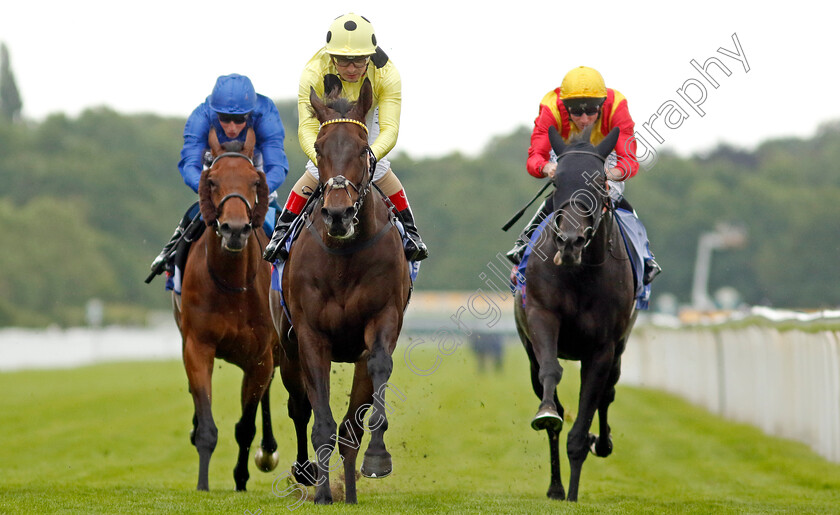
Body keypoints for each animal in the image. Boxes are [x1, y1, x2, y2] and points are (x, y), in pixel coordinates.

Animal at [175, 128, 282, 492]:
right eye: (212, 181)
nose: (234, 229)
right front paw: (202, 484)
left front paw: (240, 478)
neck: (233, 283)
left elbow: (246, 426)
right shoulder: (198, 346)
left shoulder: (261, 356)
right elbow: (207, 427)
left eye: (254, 181)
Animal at [270, 78, 412, 506]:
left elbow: (376, 376)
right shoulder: (310, 334)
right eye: (318, 148)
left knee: (352, 427)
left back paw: (348, 489)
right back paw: (308, 473)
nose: (337, 214)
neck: (344, 256)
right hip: (287, 351)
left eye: (363, 147)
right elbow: (320, 418)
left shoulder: (382, 321)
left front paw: (378, 458)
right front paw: (320, 493)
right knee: (299, 406)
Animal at [512, 126, 636, 504]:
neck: (578, 274)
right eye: (556, 182)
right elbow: (552, 374)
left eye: (599, 181)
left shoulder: (603, 348)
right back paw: (555, 485)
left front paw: (575, 491)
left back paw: (603, 443)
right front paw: (547, 415)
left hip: (619, 349)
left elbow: (588, 412)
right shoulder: (541, 316)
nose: (570, 241)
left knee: (608, 392)